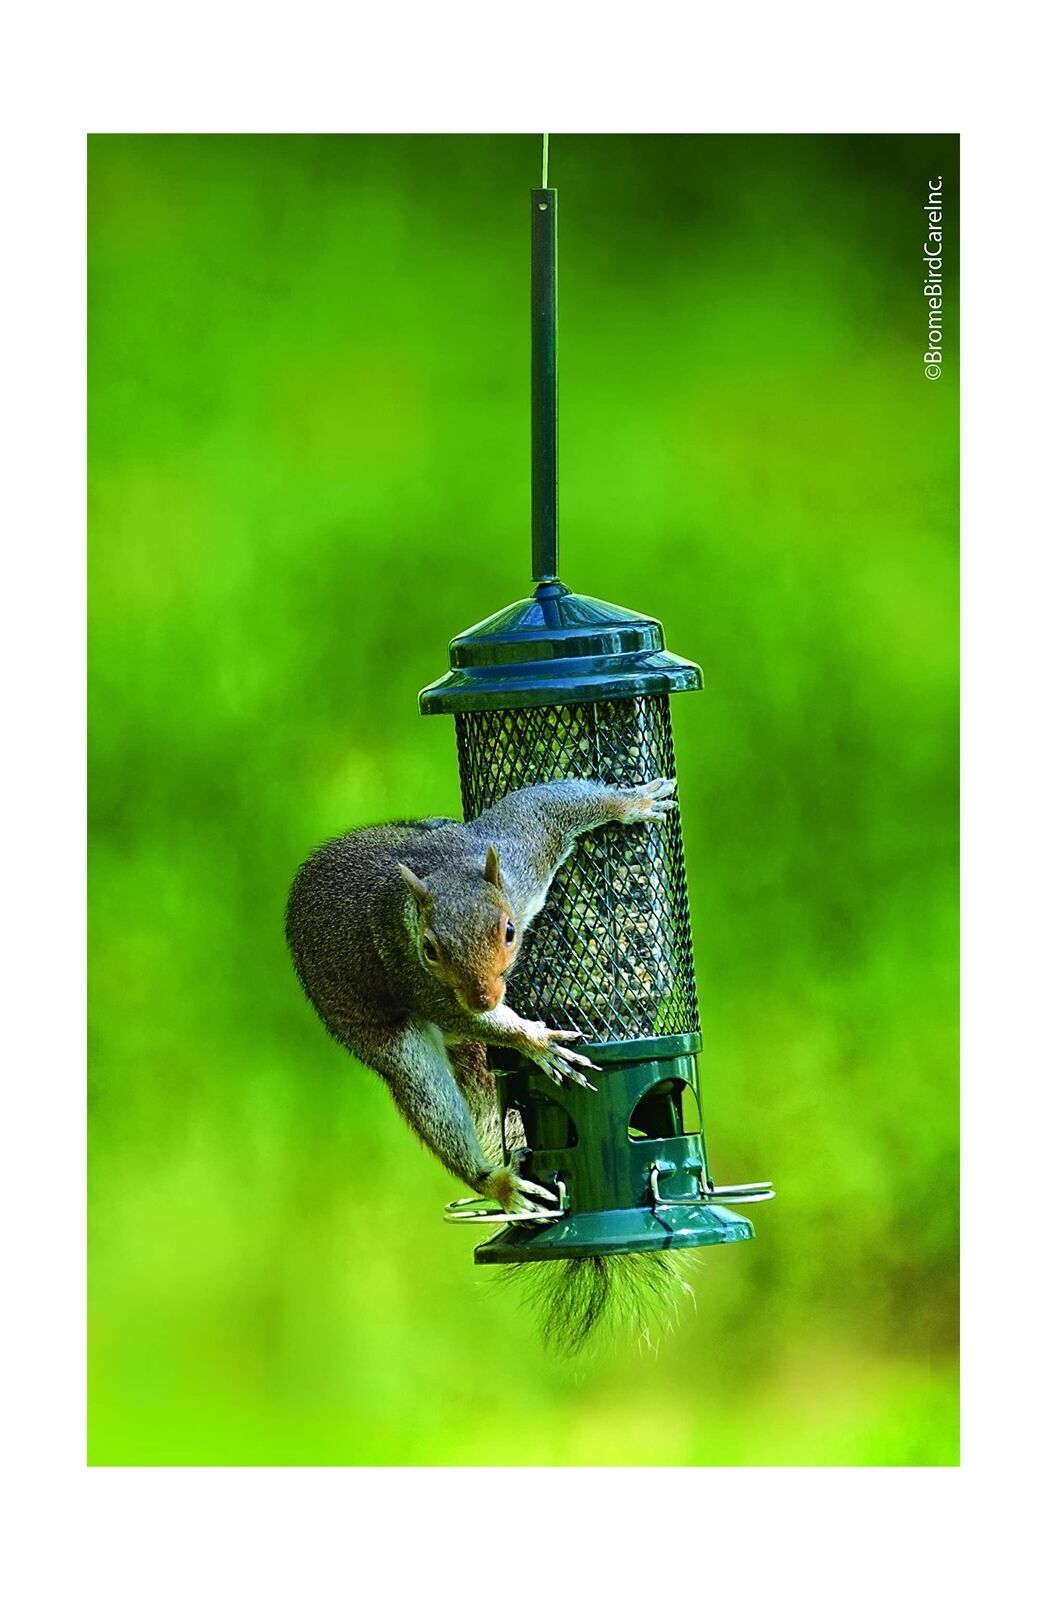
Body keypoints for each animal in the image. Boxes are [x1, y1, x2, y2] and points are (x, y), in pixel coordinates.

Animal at [285, 776, 680, 1343]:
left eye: (509, 930)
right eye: (429, 949)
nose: (484, 997)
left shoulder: (522, 854)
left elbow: (547, 807)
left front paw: (633, 803)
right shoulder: (412, 978)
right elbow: (485, 1026)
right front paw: (536, 1043)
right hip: (391, 1043)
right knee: (428, 1094)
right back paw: (495, 1181)